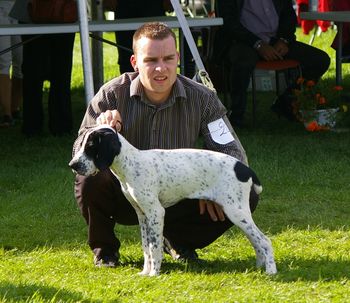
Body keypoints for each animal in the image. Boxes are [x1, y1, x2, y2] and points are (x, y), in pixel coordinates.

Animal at [69, 124, 278, 276]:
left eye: (91, 147)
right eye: (80, 145)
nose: (73, 165)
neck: (131, 164)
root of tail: (244, 168)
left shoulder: (156, 213)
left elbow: (154, 247)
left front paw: (154, 274)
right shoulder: (142, 215)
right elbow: (146, 247)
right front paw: (145, 273)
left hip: (236, 211)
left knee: (264, 240)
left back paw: (271, 271)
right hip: (237, 214)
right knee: (256, 241)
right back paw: (259, 267)